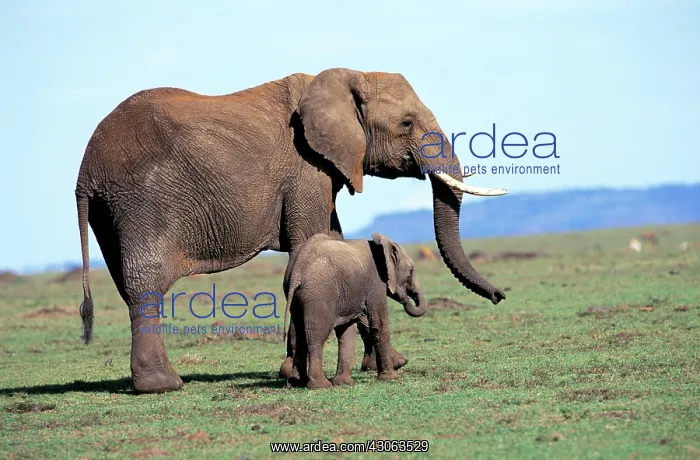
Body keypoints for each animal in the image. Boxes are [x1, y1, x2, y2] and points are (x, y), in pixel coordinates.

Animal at [282, 232, 427, 389]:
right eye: (411, 271)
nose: (408, 298)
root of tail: (297, 270)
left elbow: (346, 330)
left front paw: (344, 383)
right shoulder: (376, 281)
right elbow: (379, 323)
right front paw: (389, 378)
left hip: (298, 296)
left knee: (300, 333)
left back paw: (297, 381)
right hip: (318, 294)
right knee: (316, 336)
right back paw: (320, 385)